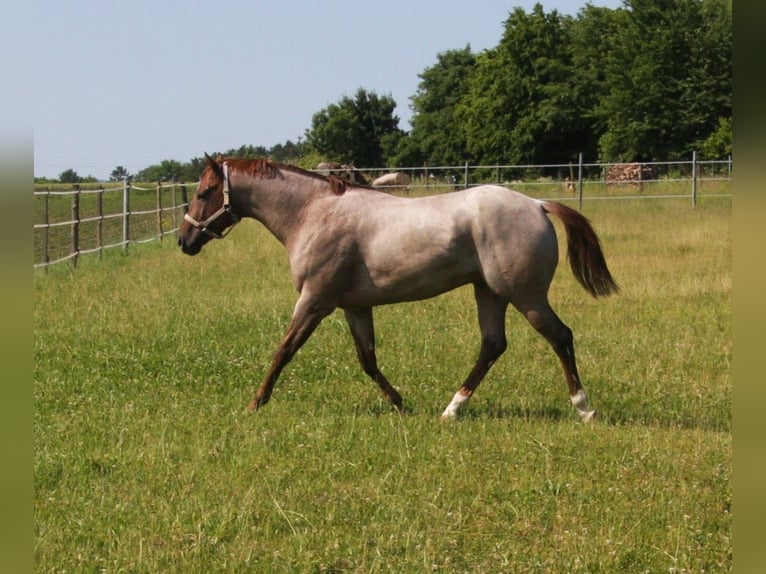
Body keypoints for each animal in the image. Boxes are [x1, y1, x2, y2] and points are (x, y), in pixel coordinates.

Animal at [178, 154, 619, 421]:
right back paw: (452, 409)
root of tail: (537, 204)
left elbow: (284, 351)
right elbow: (368, 360)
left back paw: (584, 409)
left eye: (204, 192)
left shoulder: (315, 301)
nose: (184, 240)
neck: (313, 214)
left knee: (560, 336)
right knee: (493, 345)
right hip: (489, 293)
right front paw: (399, 402)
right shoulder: (354, 307)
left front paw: (255, 402)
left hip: (526, 296)